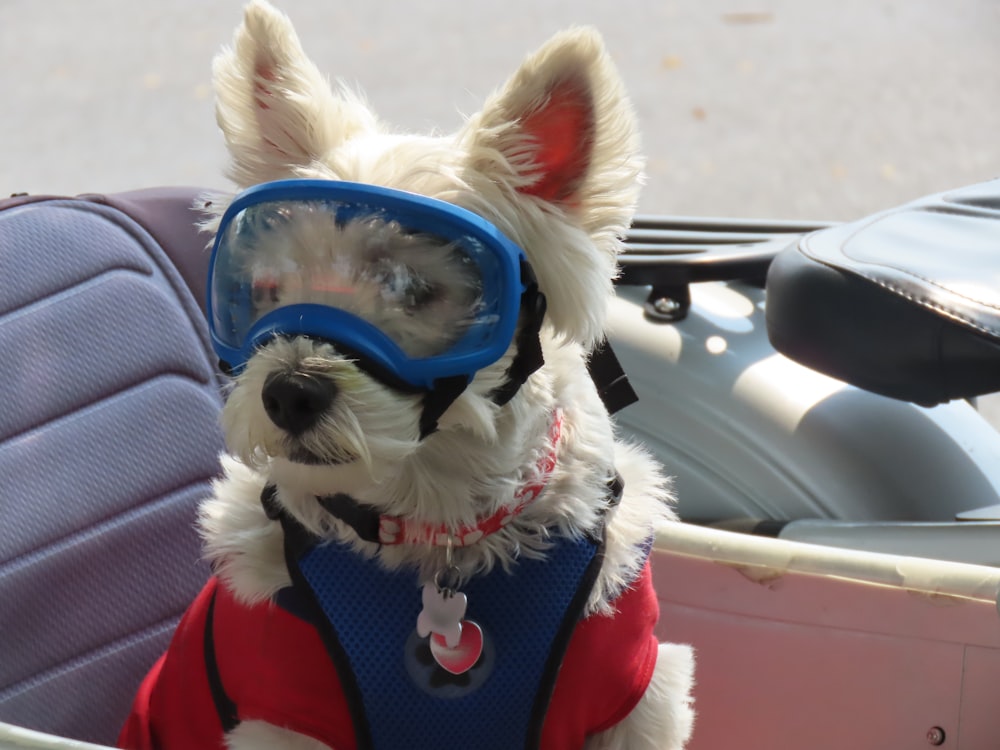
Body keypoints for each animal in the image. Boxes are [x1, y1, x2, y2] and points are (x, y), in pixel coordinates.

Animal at [119, 2, 696, 748]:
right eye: (268, 287)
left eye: (415, 288)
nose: (289, 393)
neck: (436, 530)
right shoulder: (283, 698)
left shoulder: (625, 690)